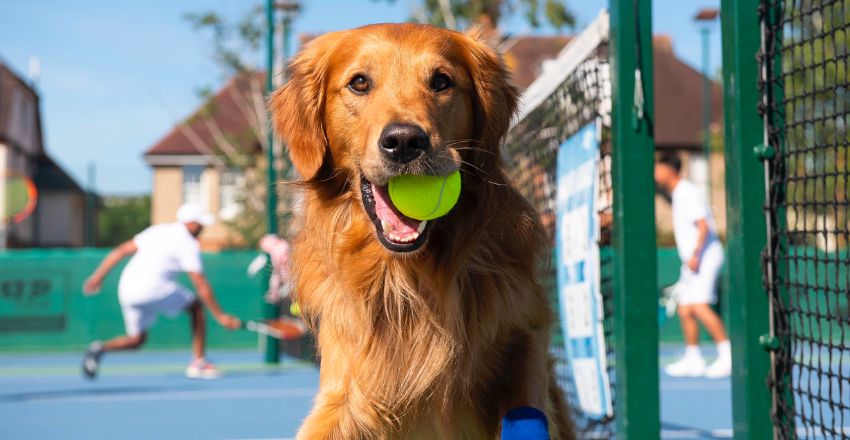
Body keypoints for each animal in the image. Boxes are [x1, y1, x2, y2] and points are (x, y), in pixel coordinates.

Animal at [268, 24, 572, 440]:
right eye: (359, 82)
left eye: (441, 82)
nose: (404, 141)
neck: (407, 279)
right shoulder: (350, 384)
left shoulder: (525, 327)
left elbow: (525, 402)